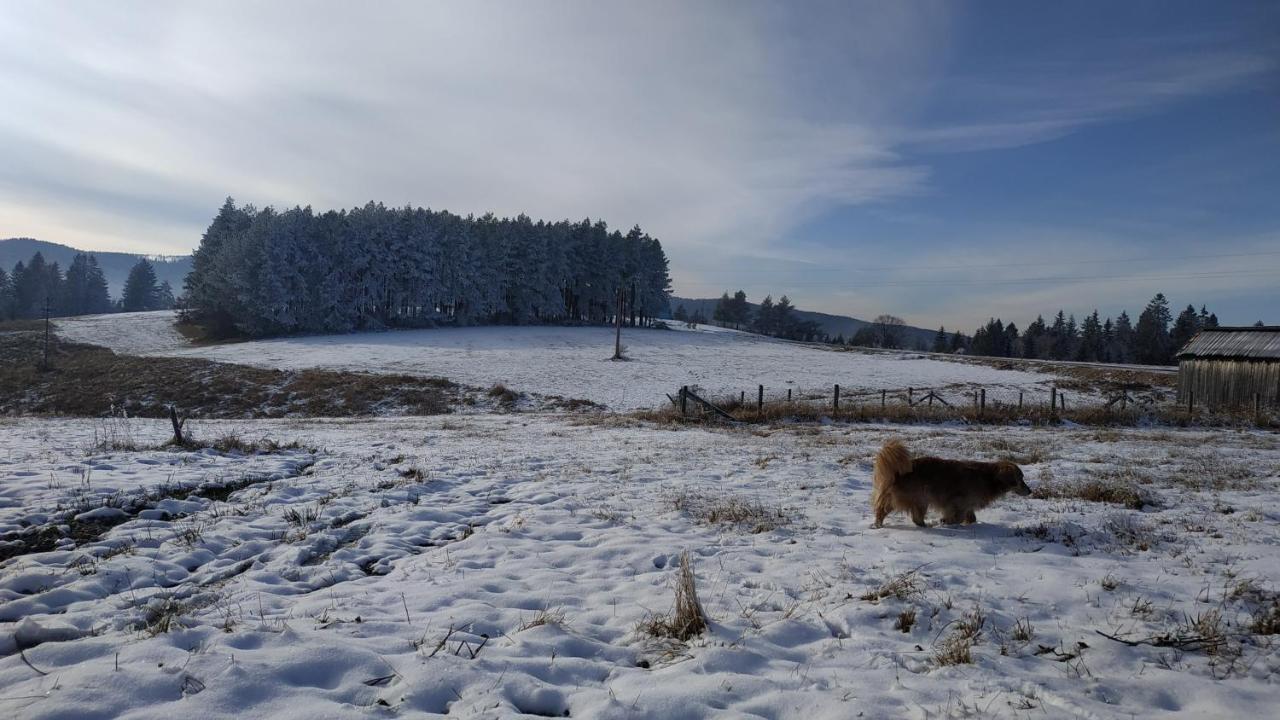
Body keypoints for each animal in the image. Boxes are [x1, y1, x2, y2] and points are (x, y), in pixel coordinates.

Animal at [870, 435, 1029, 525]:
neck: (990, 478)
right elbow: (956, 516)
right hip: (920, 497)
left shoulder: (968, 504)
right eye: (1020, 479)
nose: (1030, 491)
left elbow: (971, 518)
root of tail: (898, 472)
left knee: (884, 511)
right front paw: (947, 521)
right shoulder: (957, 501)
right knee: (912, 517)